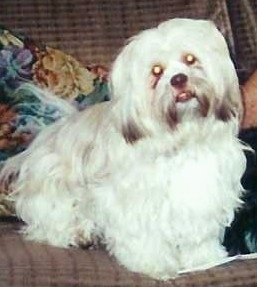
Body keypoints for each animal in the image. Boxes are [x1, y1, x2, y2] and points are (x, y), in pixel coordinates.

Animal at [1, 18, 247, 280]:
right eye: (156, 71)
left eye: (190, 59)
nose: (179, 79)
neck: (182, 140)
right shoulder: (133, 202)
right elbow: (144, 237)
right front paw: (153, 264)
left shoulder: (202, 194)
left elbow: (198, 234)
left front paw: (205, 258)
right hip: (53, 190)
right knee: (47, 225)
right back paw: (76, 235)